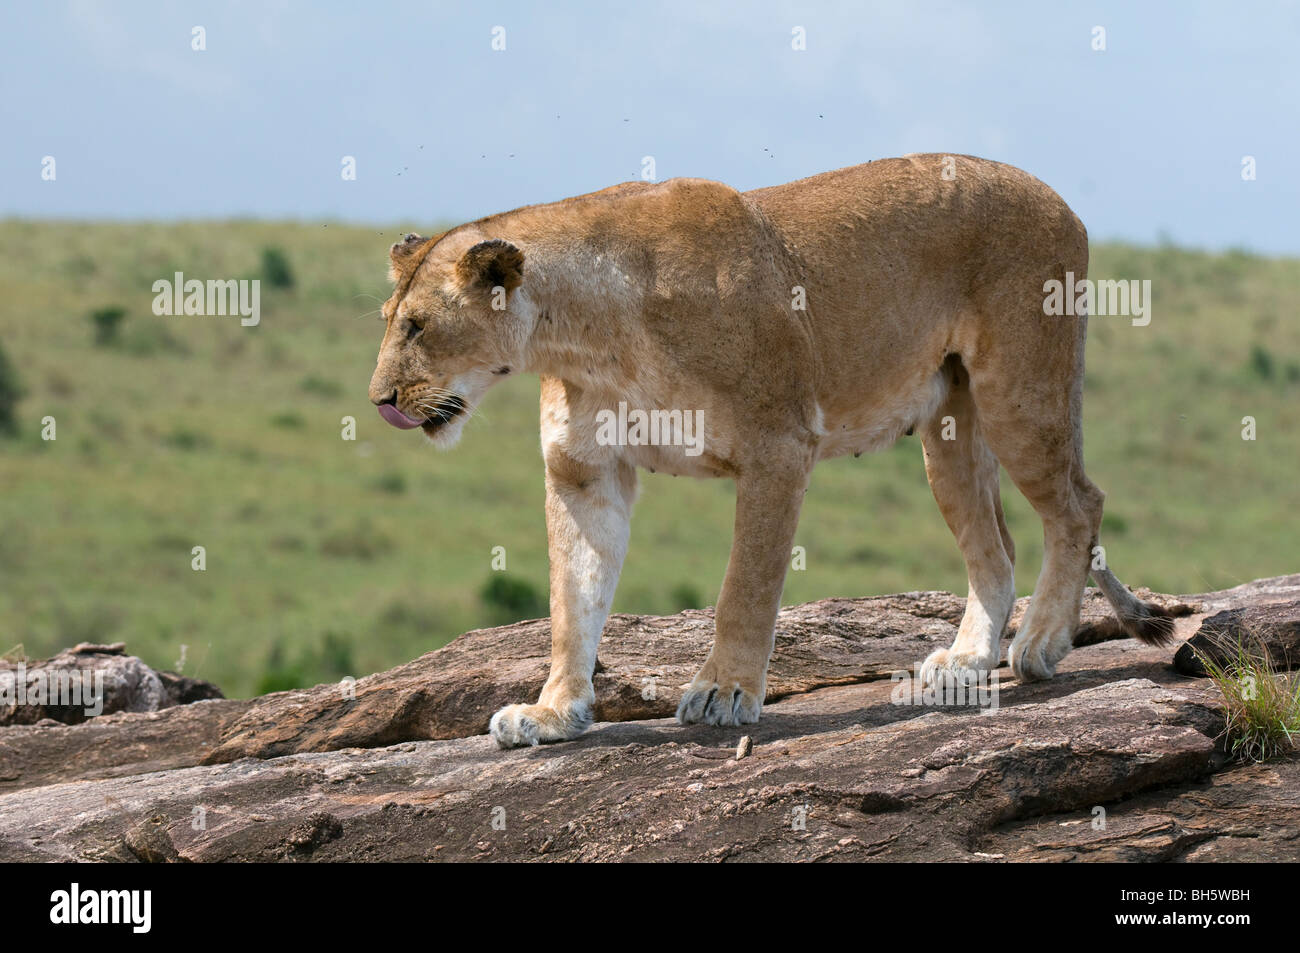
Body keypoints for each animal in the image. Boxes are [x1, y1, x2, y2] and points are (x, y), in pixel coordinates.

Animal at [368, 155, 1175, 749]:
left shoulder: (779, 443)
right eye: (387, 319)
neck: (583, 333)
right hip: (949, 428)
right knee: (996, 545)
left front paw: (724, 691)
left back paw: (1040, 643)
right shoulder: (585, 473)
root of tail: (1058, 197)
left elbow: (745, 586)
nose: (379, 399)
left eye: (418, 325)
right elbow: (574, 602)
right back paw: (966, 662)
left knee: (1079, 504)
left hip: (1020, 393)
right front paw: (553, 713)